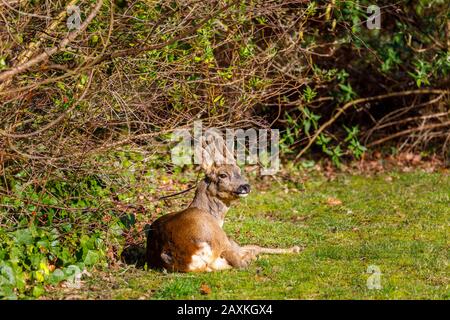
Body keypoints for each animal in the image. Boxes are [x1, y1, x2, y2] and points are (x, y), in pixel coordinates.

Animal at [146, 131, 300, 272]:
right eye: (223, 175)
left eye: (239, 171)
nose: (246, 186)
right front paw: (294, 248)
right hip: (218, 237)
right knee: (242, 261)